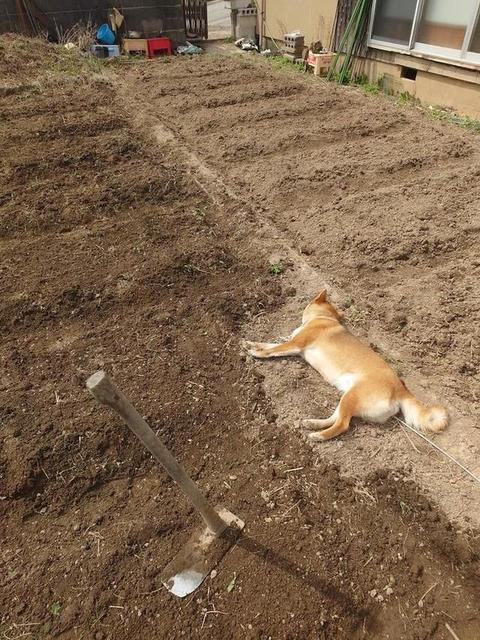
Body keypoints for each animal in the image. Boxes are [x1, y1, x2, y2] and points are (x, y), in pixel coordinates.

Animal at [244, 290, 450, 440]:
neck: (325, 318)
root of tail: (400, 388)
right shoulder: (295, 346)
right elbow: (268, 344)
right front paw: (250, 343)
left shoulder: (296, 344)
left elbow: (272, 349)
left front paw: (256, 353)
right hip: (347, 398)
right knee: (336, 418)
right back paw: (313, 423)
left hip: (352, 396)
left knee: (342, 424)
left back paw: (318, 435)